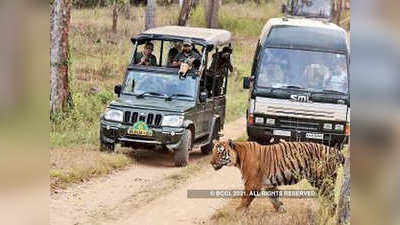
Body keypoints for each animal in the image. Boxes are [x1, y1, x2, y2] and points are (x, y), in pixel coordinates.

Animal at [211, 140, 346, 215]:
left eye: (220, 152)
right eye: (213, 152)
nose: (211, 163)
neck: (238, 156)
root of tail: (336, 151)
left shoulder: (252, 184)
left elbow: (244, 200)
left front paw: (237, 212)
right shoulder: (269, 184)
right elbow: (274, 198)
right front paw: (282, 210)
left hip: (322, 180)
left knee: (331, 201)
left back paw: (325, 215)